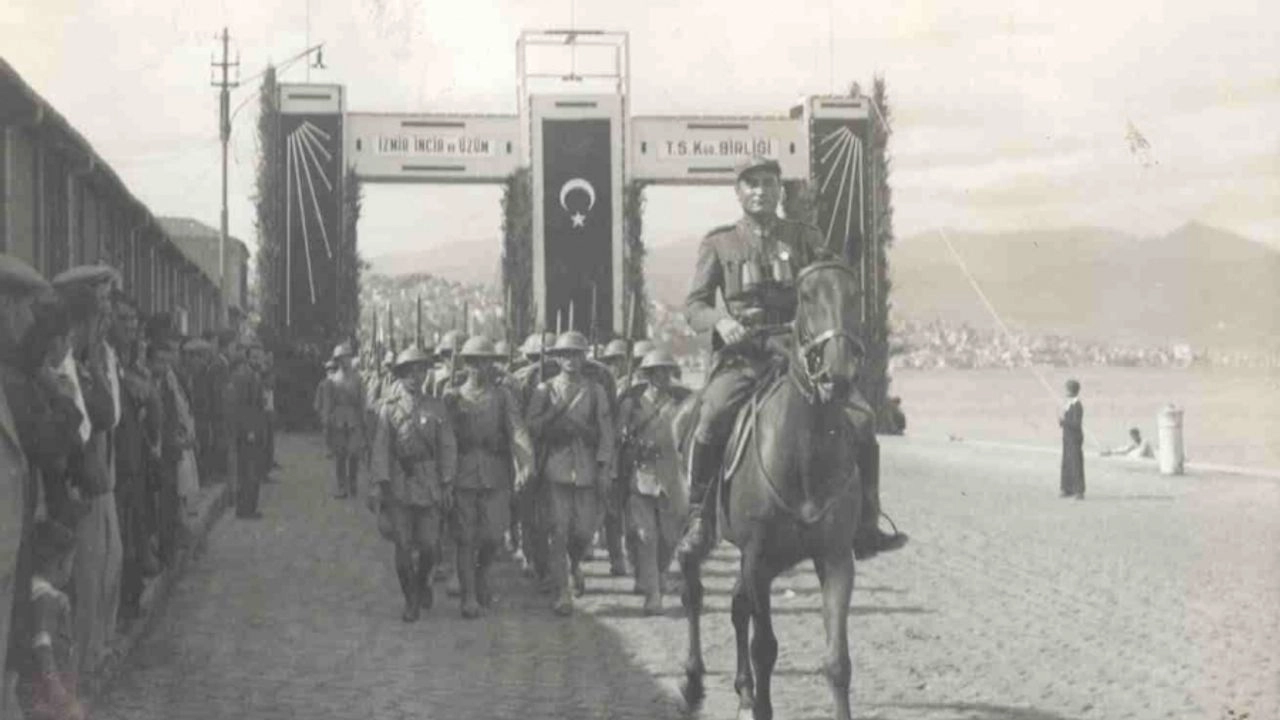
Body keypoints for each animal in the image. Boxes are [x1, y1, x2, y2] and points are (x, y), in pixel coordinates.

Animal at [675, 260, 866, 720]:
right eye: (807, 296)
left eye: (854, 295)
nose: (839, 374)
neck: (805, 452)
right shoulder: (758, 558)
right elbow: (765, 646)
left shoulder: (835, 558)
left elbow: (837, 661)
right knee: (693, 587)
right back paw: (692, 681)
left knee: (737, 605)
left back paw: (743, 690)